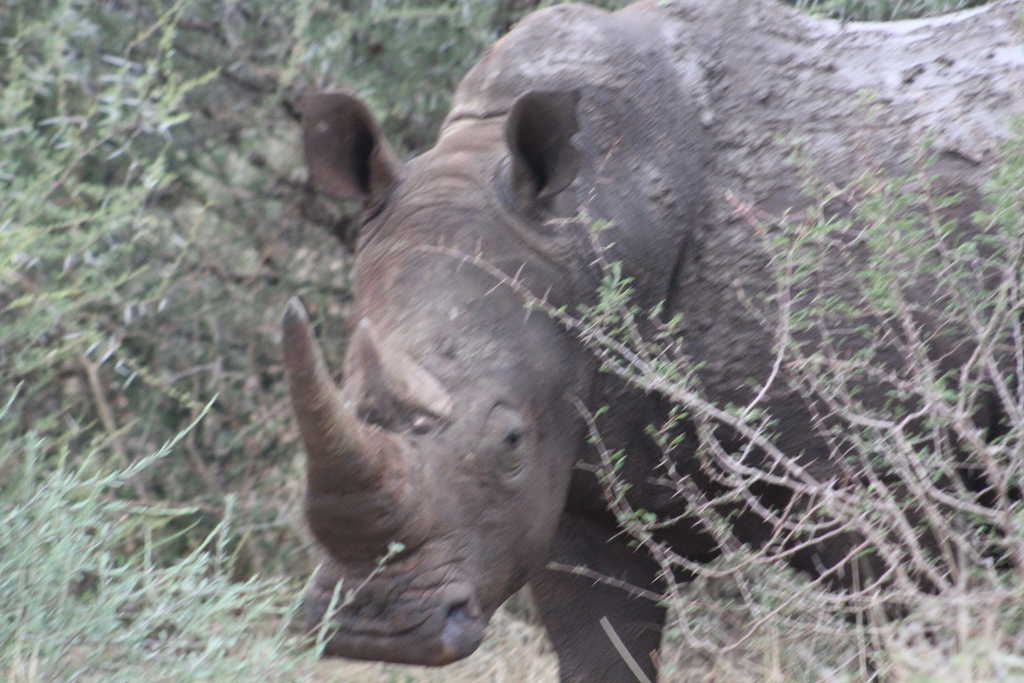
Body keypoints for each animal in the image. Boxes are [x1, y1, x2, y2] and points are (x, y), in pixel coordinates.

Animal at [284, 1, 1024, 683]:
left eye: (511, 442)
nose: (375, 628)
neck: (592, 214)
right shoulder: (576, 501)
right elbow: (602, 647)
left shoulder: (883, 478)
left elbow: (905, 621)